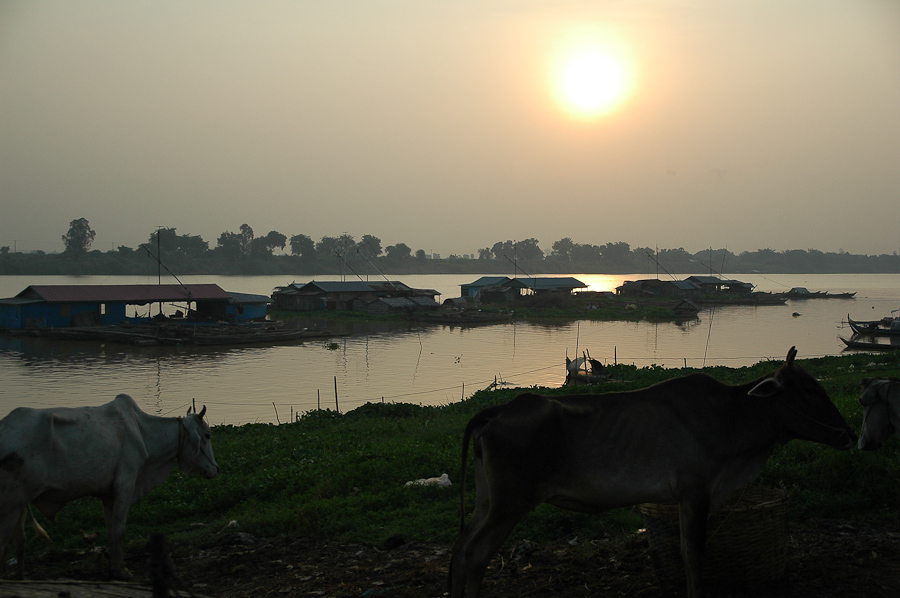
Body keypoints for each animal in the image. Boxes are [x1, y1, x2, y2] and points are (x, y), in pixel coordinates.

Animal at [0, 394, 218, 580]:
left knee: (19, 540)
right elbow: (119, 529)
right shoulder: (126, 482)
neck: (143, 432)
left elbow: (110, 528)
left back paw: (20, 577)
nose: (215, 469)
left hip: (20, 503)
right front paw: (122, 570)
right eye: (207, 435)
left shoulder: (108, 494)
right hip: (10, 502)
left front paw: (114, 566)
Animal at [450, 350, 856, 596]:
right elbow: (694, 553)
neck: (731, 417)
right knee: (474, 553)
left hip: (487, 501)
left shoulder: (686, 498)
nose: (849, 434)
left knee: (461, 547)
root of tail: (502, 408)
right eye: (809, 389)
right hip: (509, 504)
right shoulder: (696, 492)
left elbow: (686, 553)